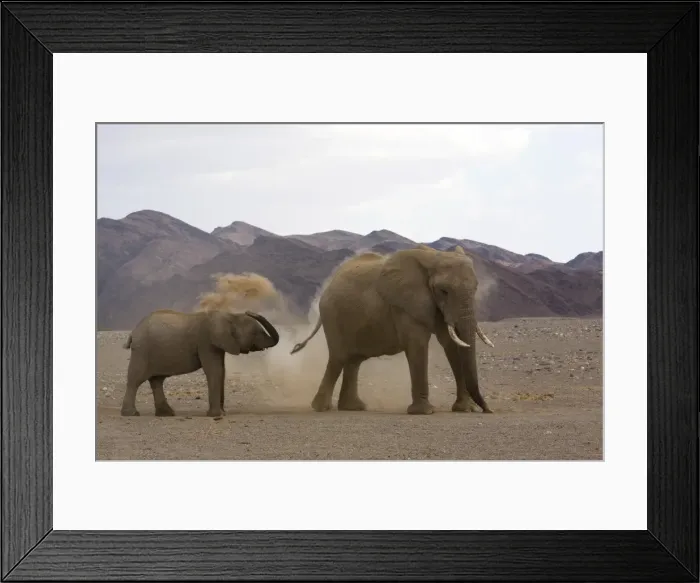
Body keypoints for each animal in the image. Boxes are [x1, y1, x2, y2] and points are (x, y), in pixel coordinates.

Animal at [120, 309, 280, 417]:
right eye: (256, 333)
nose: (249, 311)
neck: (229, 316)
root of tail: (133, 332)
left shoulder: (218, 344)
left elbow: (221, 371)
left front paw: (221, 413)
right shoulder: (207, 342)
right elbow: (214, 370)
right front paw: (216, 415)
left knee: (157, 380)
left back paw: (167, 414)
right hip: (142, 351)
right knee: (136, 379)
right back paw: (132, 414)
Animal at [290, 245, 494, 415]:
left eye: (476, 288)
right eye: (443, 291)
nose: (488, 410)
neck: (433, 258)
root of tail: (328, 286)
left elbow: (450, 343)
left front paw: (464, 410)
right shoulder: (404, 304)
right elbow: (417, 344)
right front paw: (424, 412)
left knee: (354, 361)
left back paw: (353, 407)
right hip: (332, 315)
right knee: (338, 358)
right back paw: (321, 408)